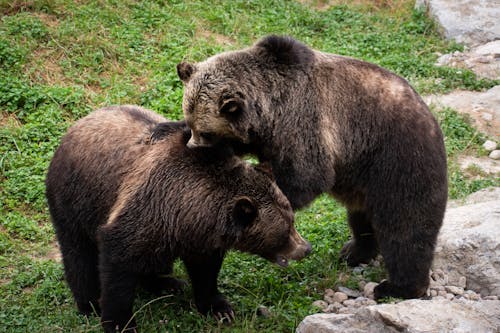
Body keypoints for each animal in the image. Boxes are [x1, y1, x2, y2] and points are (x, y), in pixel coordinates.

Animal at [45, 105, 308, 332]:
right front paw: (120, 322)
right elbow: (117, 263)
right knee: (78, 254)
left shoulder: (198, 234)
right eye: (286, 229)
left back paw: (166, 283)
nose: (306, 248)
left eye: (292, 219)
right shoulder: (147, 207)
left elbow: (205, 270)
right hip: (76, 199)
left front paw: (219, 308)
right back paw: (89, 303)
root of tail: (79, 123)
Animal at [177, 35, 450, 300]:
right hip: (363, 180)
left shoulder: (303, 122)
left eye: (206, 132)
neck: (270, 109)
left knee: (405, 229)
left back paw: (397, 287)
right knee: (361, 219)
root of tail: (434, 123)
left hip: (396, 163)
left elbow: (306, 176)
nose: (192, 147)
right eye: (191, 122)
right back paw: (354, 252)